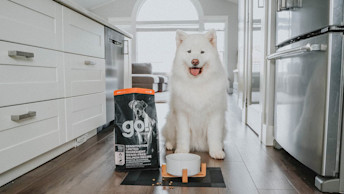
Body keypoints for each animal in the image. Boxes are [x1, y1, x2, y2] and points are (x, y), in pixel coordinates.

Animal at [162, 29, 228, 159]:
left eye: (202, 52)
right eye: (189, 51)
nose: (195, 61)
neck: (197, 83)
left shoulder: (215, 114)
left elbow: (214, 135)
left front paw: (216, 151)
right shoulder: (182, 114)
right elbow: (183, 134)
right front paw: (182, 151)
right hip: (170, 123)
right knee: (169, 137)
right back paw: (170, 145)